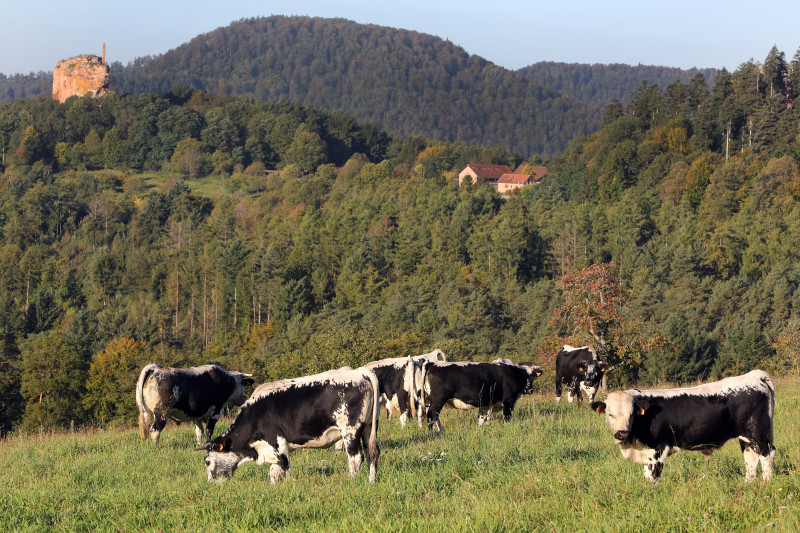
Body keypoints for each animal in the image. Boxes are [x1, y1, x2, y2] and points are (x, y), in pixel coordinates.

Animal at [195, 368, 380, 484]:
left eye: (207, 461)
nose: (210, 483)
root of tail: (359, 372)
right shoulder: (271, 450)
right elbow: (273, 472)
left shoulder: (278, 446)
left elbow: (285, 470)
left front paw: (290, 486)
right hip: (368, 428)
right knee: (372, 454)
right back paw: (371, 482)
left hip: (350, 430)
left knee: (356, 457)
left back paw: (351, 481)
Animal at [588, 368, 776, 484]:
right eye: (610, 414)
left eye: (631, 414)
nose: (622, 434)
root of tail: (753, 376)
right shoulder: (645, 453)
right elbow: (647, 476)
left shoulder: (657, 451)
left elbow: (654, 478)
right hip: (746, 437)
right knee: (751, 458)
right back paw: (748, 484)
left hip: (758, 433)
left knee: (767, 454)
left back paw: (766, 483)